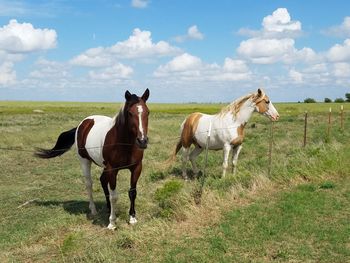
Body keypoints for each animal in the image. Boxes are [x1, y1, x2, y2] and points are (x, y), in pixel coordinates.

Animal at [34, 89, 150, 230]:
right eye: (130, 113)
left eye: (148, 112)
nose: (142, 141)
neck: (124, 144)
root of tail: (83, 124)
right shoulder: (113, 170)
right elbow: (114, 196)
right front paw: (112, 223)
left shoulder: (136, 168)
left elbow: (132, 192)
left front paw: (132, 218)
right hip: (85, 161)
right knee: (89, 184)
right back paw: (94, 210)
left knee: (102, 180)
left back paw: (108, 208)